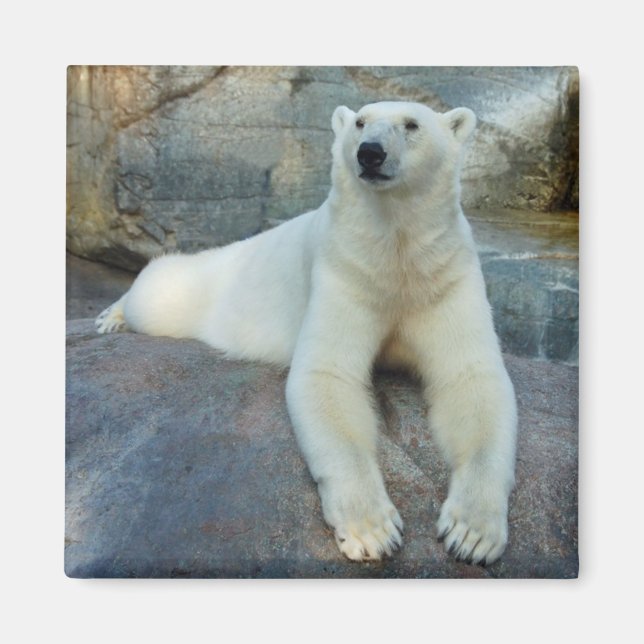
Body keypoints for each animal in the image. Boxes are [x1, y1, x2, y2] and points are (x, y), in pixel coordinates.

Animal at [96, 101, 517, 565]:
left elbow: (471, 378)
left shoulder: (444, 276)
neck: (395, 252)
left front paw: (472, 533)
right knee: (158, 289)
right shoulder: (345, 267)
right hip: (196, 289)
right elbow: (326, 376)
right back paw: (112, 315)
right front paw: (372, 531)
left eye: (412, 124)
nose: (370, 153)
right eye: (360, 122)